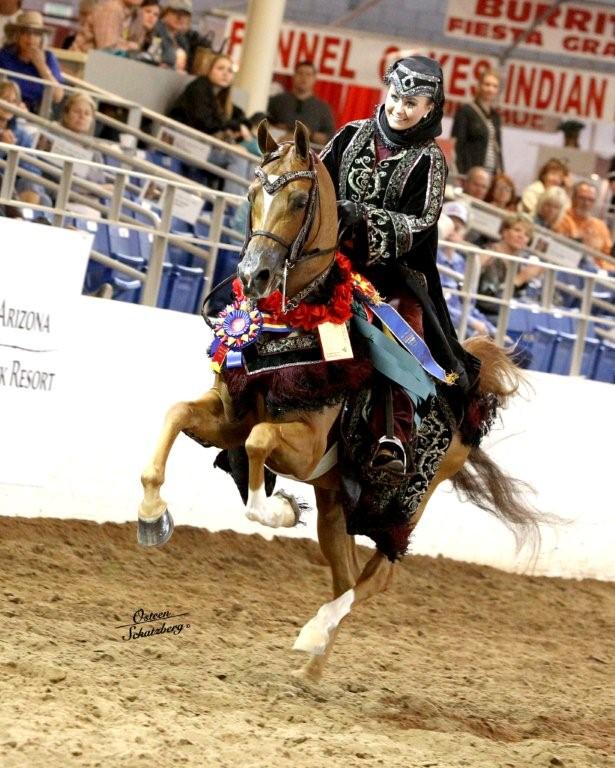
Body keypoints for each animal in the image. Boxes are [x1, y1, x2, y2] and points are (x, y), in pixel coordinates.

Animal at [137, 121, 539, 682]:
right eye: (252, 193)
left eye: (299, 198)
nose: (254, 275)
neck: (294, 325)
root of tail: (471, 399)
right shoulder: (229, 414)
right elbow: (178, 414)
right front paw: (152, 516)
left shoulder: (303, 446)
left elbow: (260, 442)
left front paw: (278, 511)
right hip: (336, 502)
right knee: (345, 573)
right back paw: (312, 665)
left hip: (407, 502)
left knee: (376, 577)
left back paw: (315, 633)